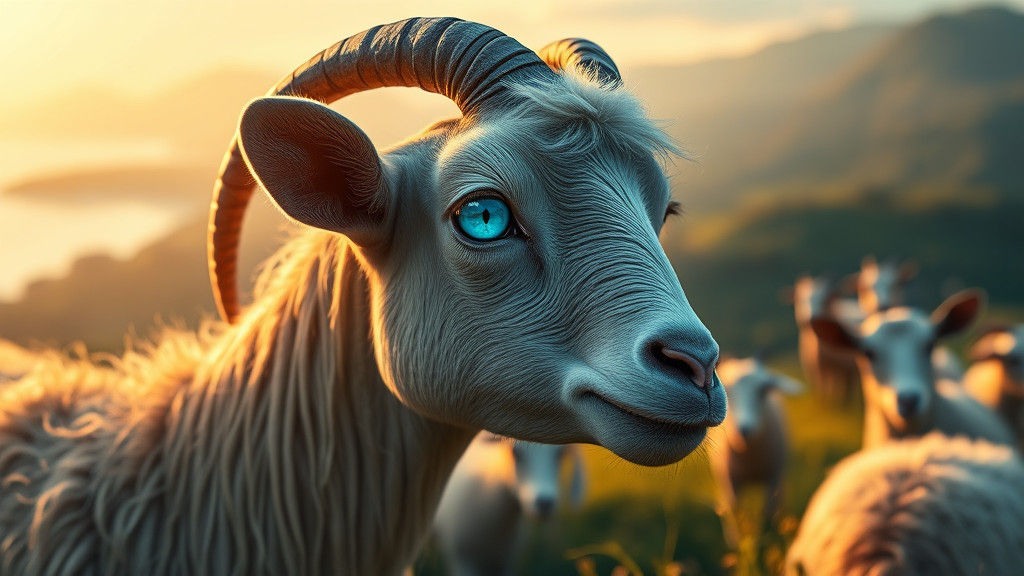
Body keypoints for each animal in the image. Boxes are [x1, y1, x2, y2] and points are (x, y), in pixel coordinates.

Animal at [711, 357, 801, 549]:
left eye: (763, 390)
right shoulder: (731, 480)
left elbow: (768, 512)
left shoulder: (773, 478)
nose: (744, 430)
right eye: (726, 390)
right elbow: (736, 512)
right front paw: (738, 546)